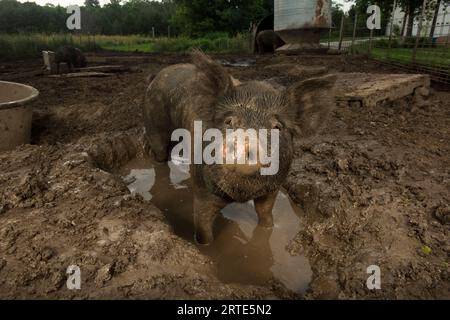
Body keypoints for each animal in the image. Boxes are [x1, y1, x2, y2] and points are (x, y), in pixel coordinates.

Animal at [142, 50, 336, 245]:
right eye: (229, 121)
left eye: (277, 126)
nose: (244, 142)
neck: (241, 196)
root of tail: (156, 76)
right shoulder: (203, 191)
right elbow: (203, 229)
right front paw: (205, 247)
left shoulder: (273, 189)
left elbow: (265, 215)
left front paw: (268, 230)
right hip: (154, 122)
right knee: (160, 155)